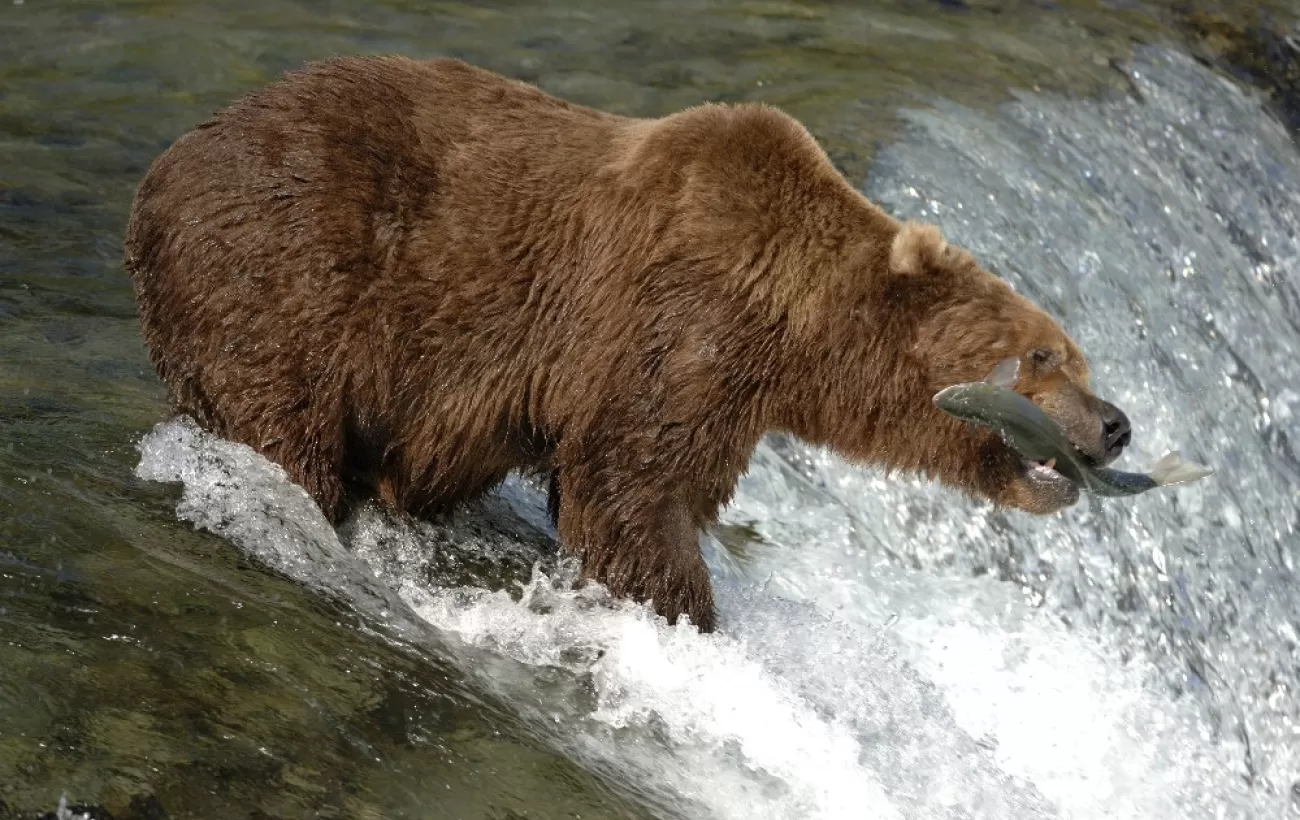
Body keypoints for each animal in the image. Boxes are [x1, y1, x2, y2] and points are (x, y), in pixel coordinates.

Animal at [126, 56, 1133, 634]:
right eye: (1046, 354)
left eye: (1078, 357)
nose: (1117, 421)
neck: (796, 325)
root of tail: (160, 169)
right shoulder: (676, 323)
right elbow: (634, 485)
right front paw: (686, 615)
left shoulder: (723, 386)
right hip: (285, 265)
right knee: (278, 416)